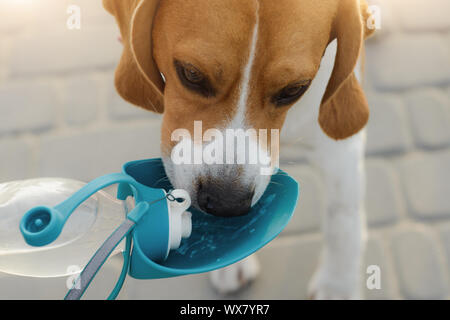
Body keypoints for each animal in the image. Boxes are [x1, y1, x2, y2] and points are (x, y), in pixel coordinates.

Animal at [103, 0, 374, 300]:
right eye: (191, 74)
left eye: (294, 89)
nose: (226, 204)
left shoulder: (340, 150)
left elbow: (342, 222)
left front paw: (337, 287)